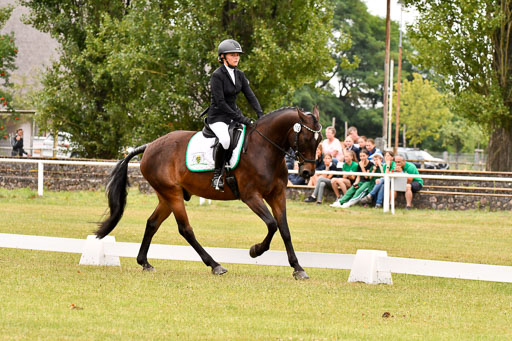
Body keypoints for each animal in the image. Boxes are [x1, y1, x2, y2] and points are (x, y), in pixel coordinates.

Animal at [95, 106, 320, 278]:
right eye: (306, 137)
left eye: (318, 141)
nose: (307, 172)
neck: (264, 149)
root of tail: (150, 146)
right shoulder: (251, 197)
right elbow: (272, 225)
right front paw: (255, 251)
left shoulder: (277, 195)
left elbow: (284, 230)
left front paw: (298, 268)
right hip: (172, 194)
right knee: (185, 229)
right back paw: (215, 265)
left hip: (166, 197)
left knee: (152, 223)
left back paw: (145, 262)